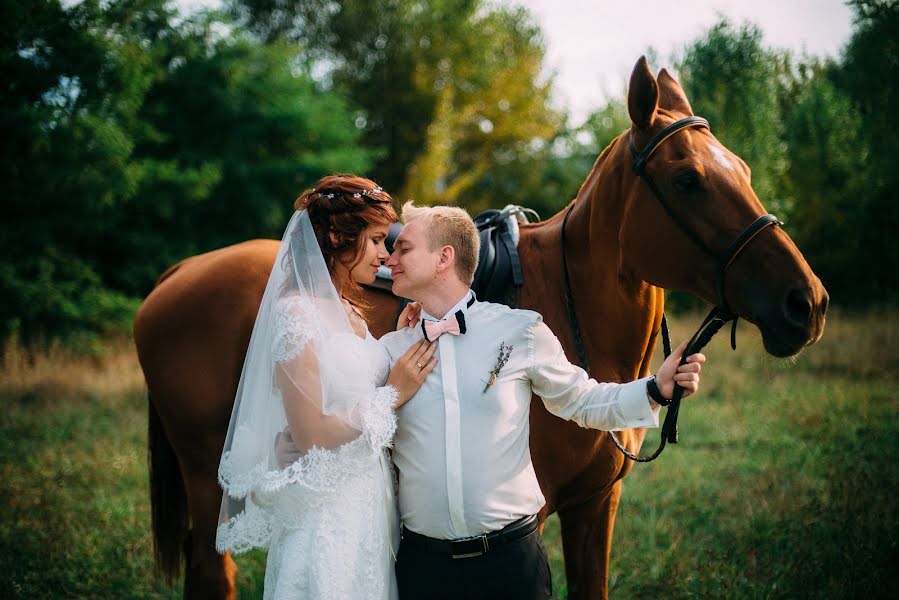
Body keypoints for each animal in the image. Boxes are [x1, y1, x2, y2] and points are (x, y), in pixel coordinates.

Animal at [135, 57, 828, 600]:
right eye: (688, 180)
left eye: (742, 168)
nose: (807, 303)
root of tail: (178, 272)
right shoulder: (539, 513)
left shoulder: (593, 508)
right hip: (210, 480)